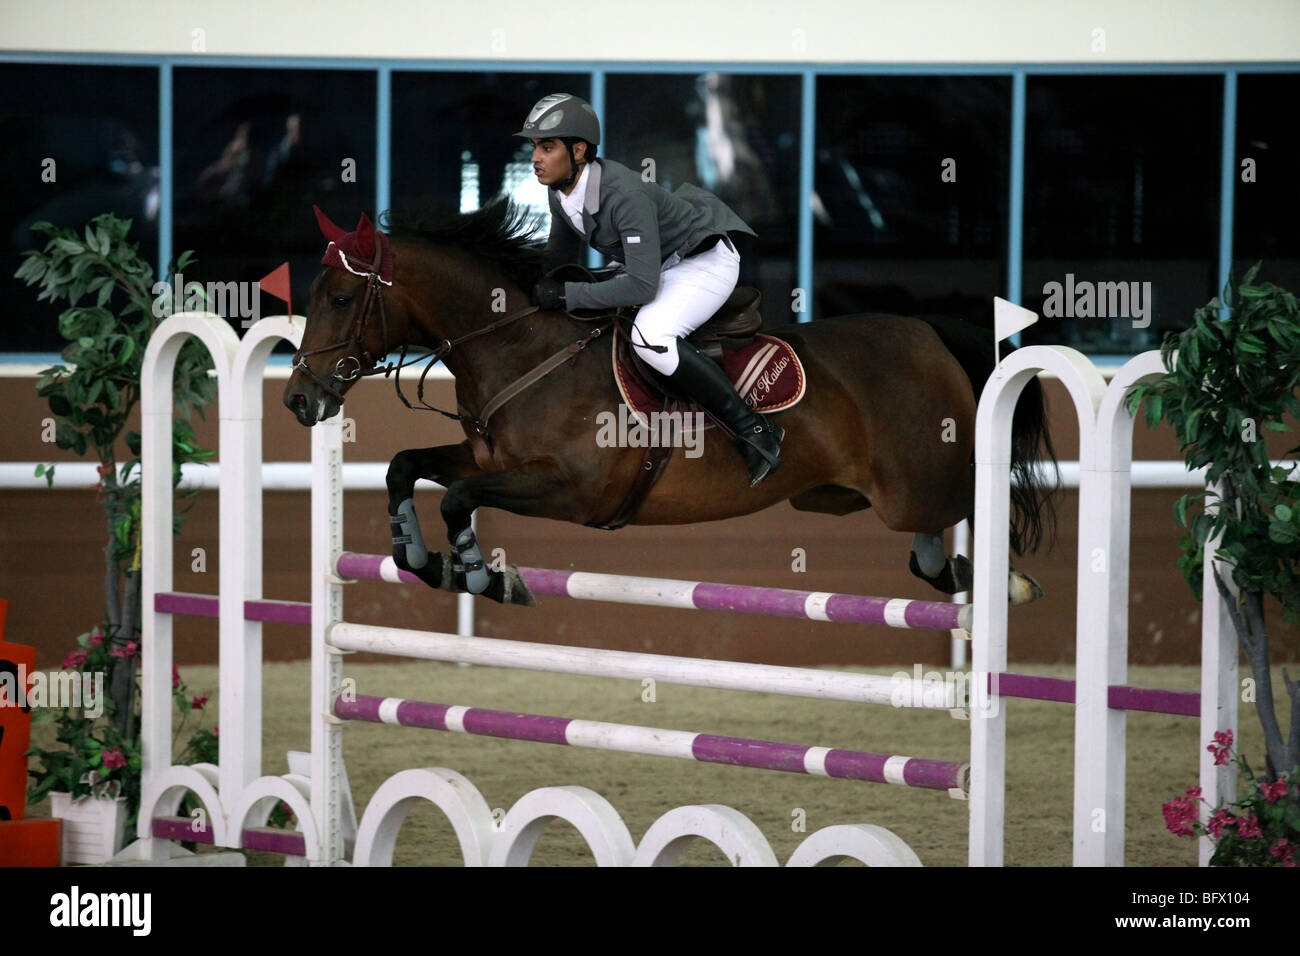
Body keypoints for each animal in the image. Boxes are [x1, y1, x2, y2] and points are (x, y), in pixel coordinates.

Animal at [284, 199, 1055, 608]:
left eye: (342, 298)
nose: (297, 398)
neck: (519, 348)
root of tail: (929, 331)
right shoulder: (483, 456)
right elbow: (405, 468)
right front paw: (424, 561)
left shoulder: (572, 490)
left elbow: (457, 498)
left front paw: (482, 574)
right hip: (838, 497)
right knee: (927, 541)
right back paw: (960, 574)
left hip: (916, 480)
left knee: (971, 505)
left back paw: (1010, 584)